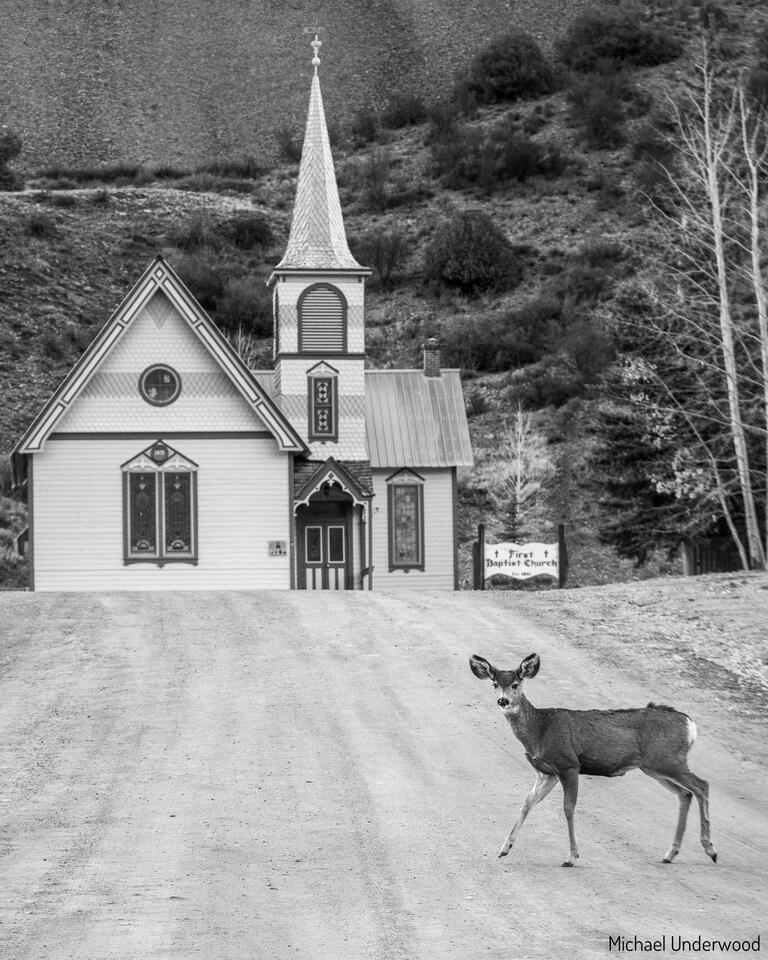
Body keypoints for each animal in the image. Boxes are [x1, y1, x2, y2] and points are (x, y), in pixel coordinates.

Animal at [469, 652, 717, 867]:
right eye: (494, 684)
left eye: (516, 684)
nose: (503, 701)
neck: (539, 729)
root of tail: (690, 725)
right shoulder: (547, 772)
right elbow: (527, 803)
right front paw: (504, 848)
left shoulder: (568, 764)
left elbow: (568, 808)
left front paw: (571, 856)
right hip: (654, 766)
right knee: (685, 794)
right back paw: (671, 853)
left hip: (667, 760)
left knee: (701, 785)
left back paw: (710, 849)